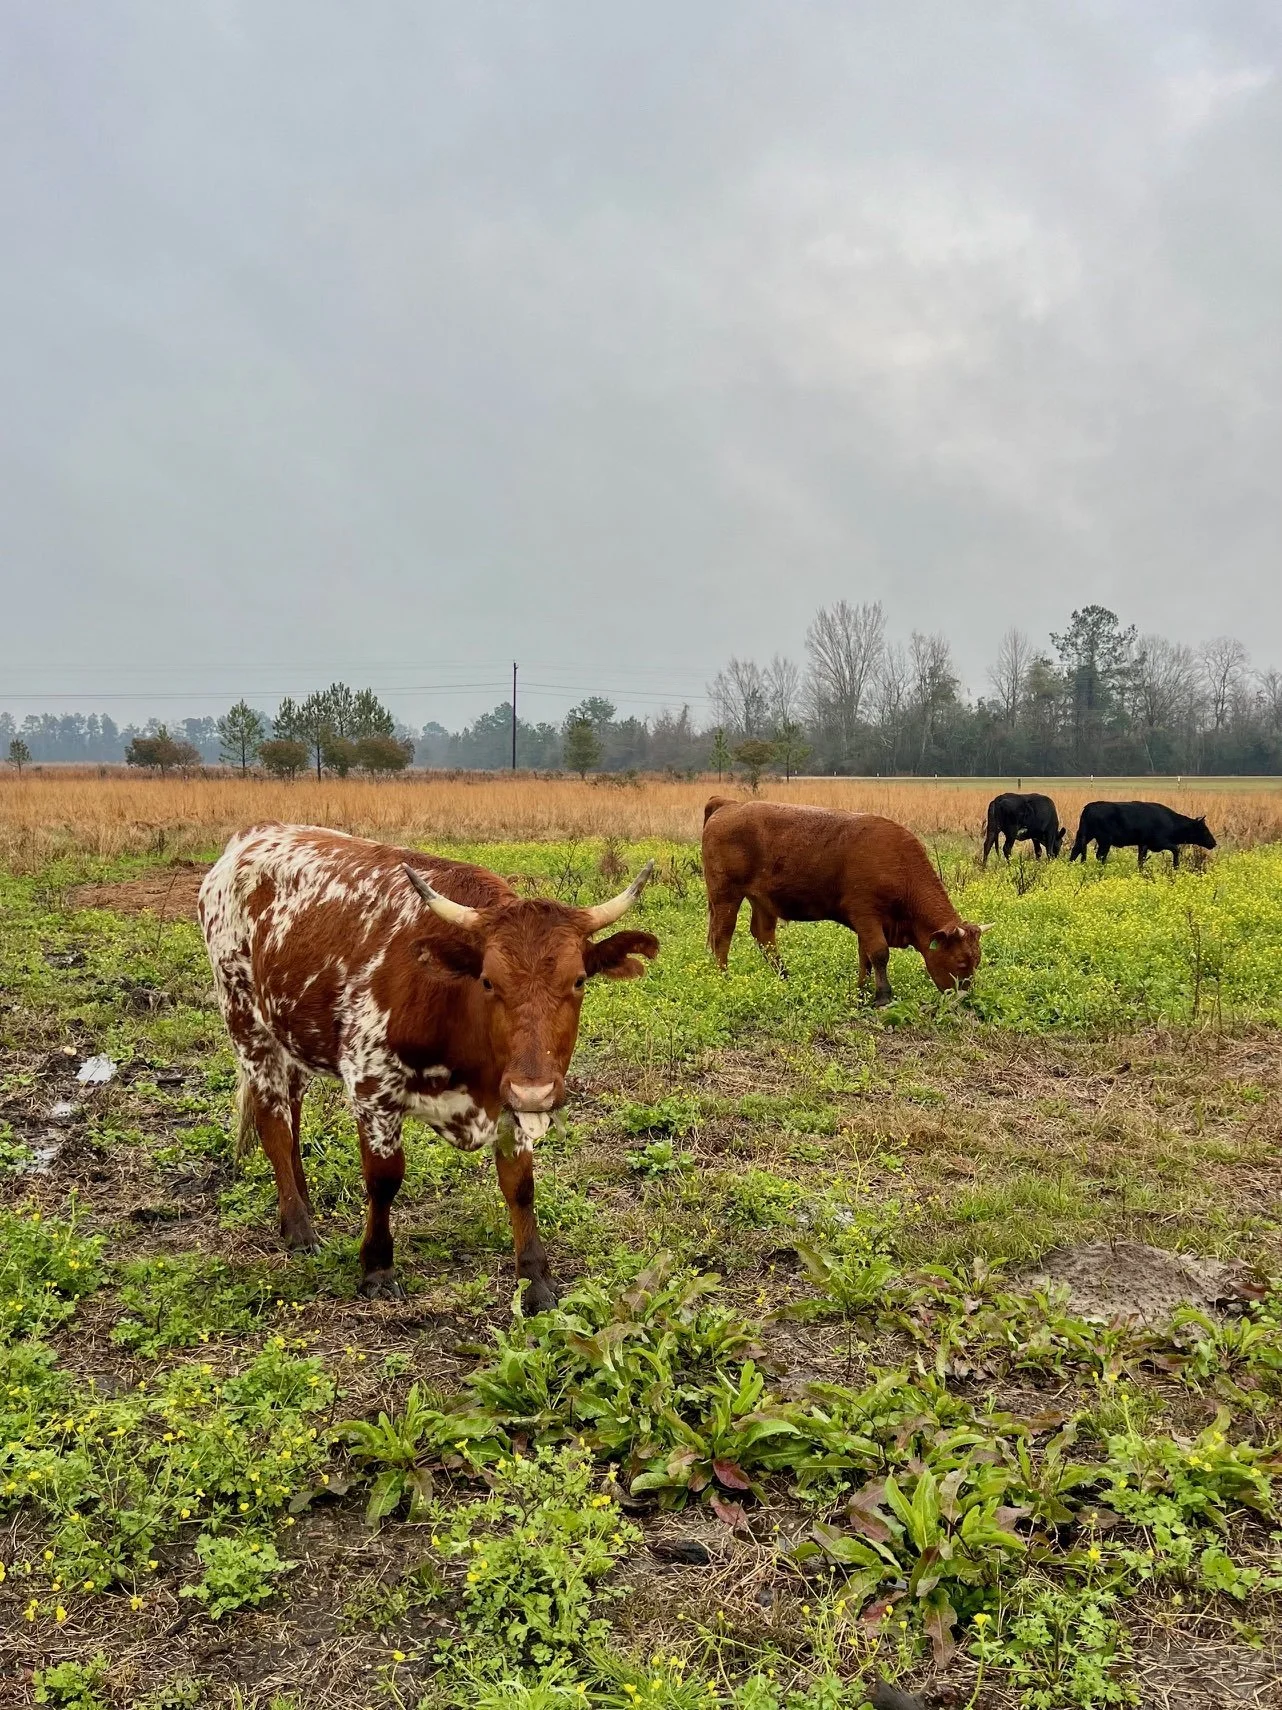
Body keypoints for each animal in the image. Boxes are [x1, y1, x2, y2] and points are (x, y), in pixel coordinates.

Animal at [198, 823, 659, 1309]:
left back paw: (301, 1203)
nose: (534, 1091)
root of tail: (253, 836)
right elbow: (384, 1179)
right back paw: (298, 1229)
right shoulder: (372, 1091)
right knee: (274, 1124)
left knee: (293, 1114)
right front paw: (377, 1267)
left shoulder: (509, 1099)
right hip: (247, 1024)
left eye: (579, 980)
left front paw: (534, 1279)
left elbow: (520, 1186)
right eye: (488, 981)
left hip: (292, 1035)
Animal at [701, 798, 990, 1005]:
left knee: (764, 936)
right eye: (961, 961)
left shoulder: (867, 923)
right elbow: (879, 953)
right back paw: (724, 976)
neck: (899, 864)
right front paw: (883, 996)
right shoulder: (867, 914)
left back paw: (784, 976)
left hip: (762, 900)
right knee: (722, 935)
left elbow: (865, 955)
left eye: (976, 961)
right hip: (726, 896)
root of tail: (728, 804)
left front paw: (862, 991)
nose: (964, 999)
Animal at [1068, 801, 1216, 869]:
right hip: (1104, 840)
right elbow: (1176, 849)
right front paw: (1176, 867)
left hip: (1085, 836)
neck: (1171, 821)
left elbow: (1141, 860)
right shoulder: (1159, 842)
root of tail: (1089, 807)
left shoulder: (1143, 845)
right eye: (1204, 830)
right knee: (1100, 855)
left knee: (1076, 850)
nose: (1214, 843)